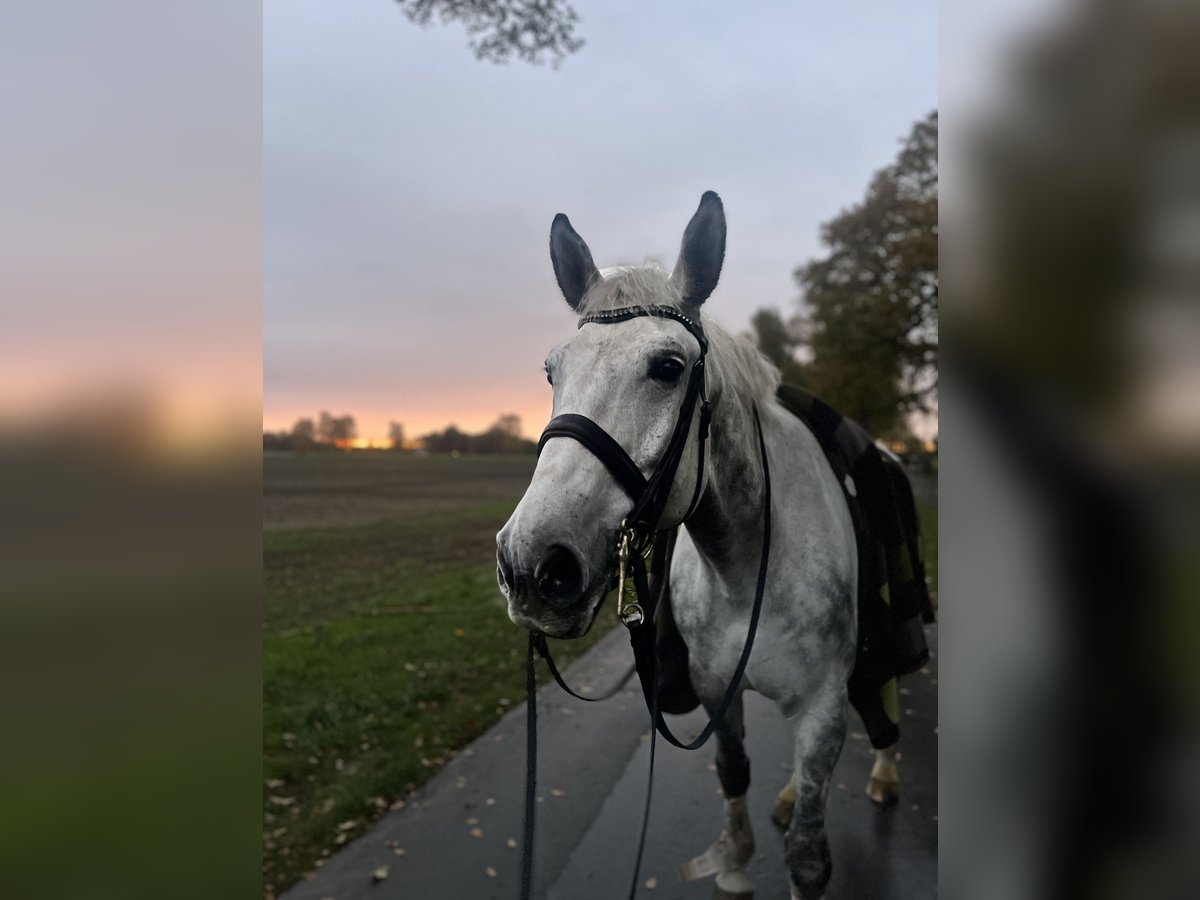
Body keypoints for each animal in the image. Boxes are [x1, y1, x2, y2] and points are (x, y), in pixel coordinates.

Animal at [496, 192, 901, 900]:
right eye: (551, 371)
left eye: (668, 367)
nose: (531, 564)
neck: (747, 569)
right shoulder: (718, 691)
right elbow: (734, 773)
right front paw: (734, 859)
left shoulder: (823, 706)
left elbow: (808, 857)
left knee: (881, 703)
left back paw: (882, 773)